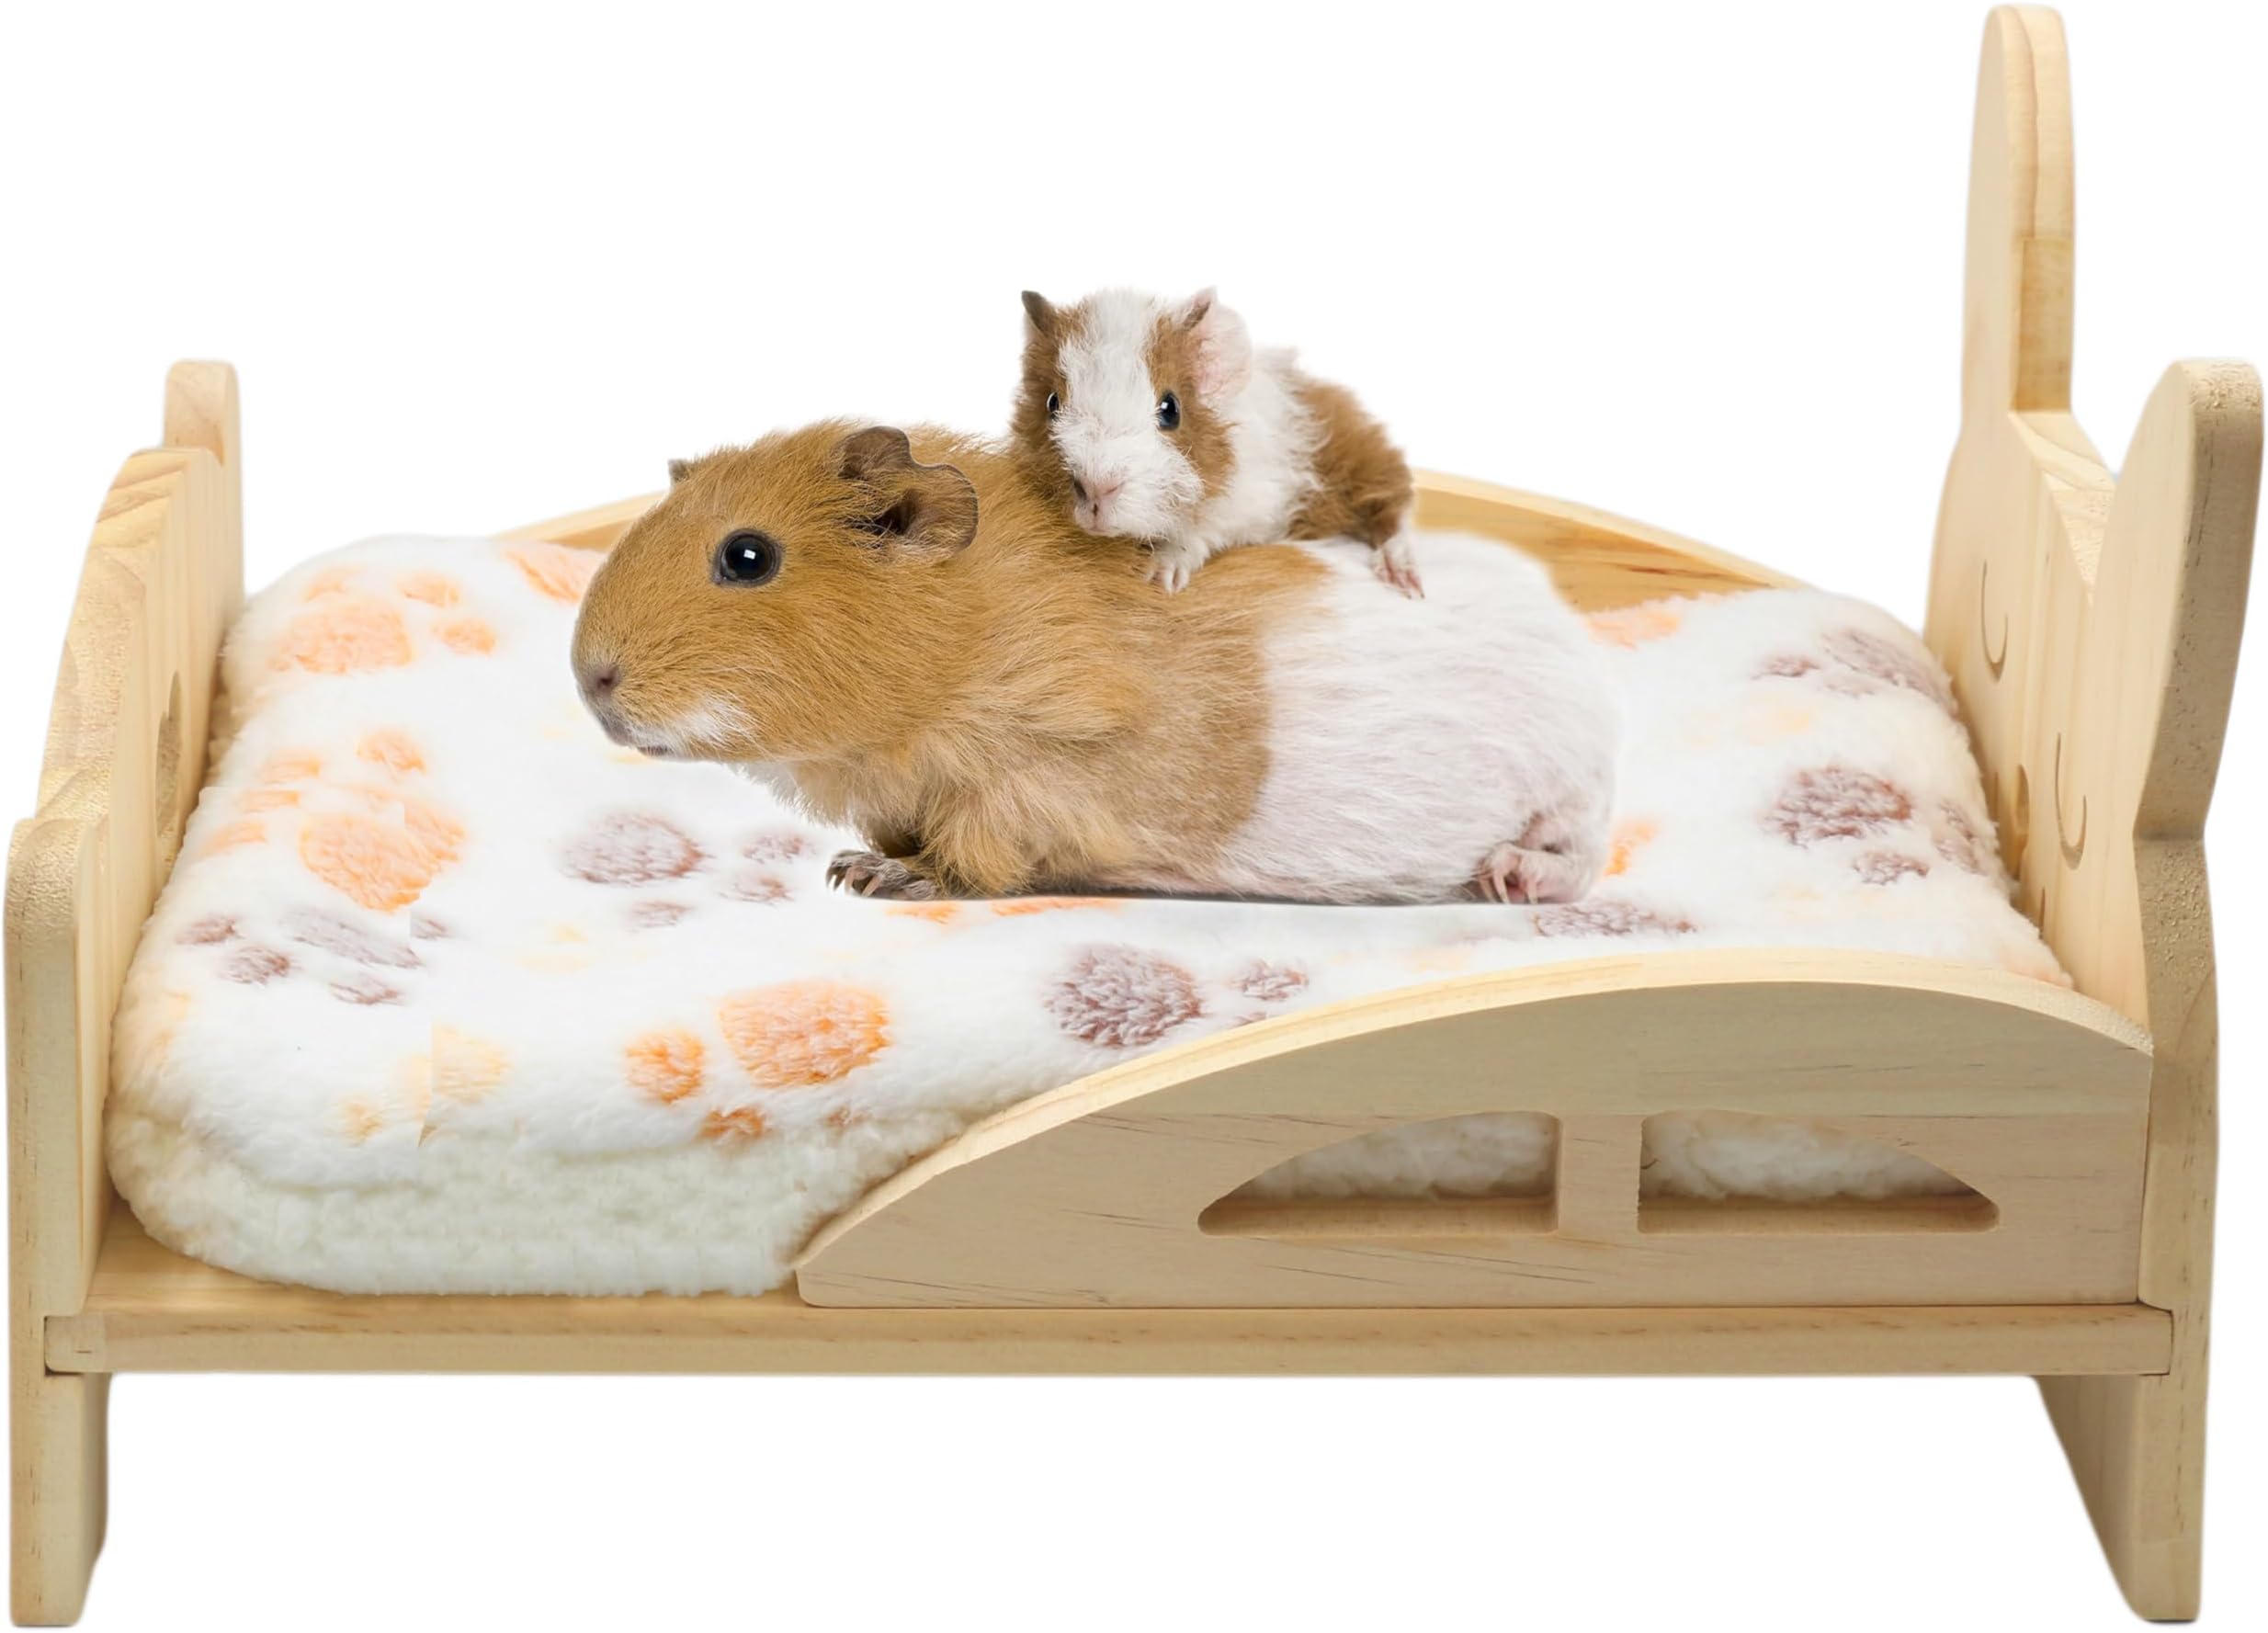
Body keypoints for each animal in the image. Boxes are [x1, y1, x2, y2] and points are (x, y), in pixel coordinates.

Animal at [571, 420, 1617, 906]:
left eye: (747, 556)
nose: (590, 679)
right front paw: (850, 865)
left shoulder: (1021, 787)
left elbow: (973, 857)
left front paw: (875, 880)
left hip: (1569, 792)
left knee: (1576, 859)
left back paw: (1508, 880)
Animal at [1013, 288, 1424, 596]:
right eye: (1052, 403)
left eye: (1170, 409)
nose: (1096, 489)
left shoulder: (1253, 507)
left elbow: (1198, 533)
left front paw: (1159, 577)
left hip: (1368, 464)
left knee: (1395, 513)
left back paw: (1404, 580)